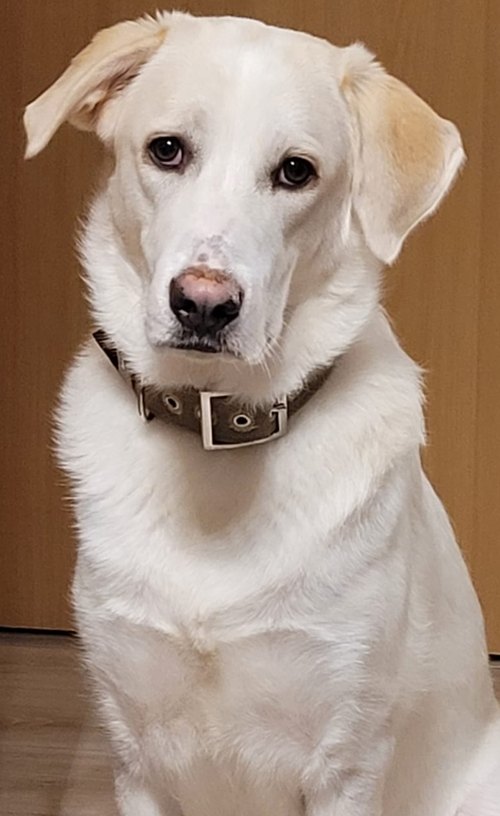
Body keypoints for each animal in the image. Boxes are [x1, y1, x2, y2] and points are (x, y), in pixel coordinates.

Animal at [24, 12, 500, 816]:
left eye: (296, 172)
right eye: (167, 150)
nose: (204, 303)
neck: (216, 433)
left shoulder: (345, 764)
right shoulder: (136, 758)